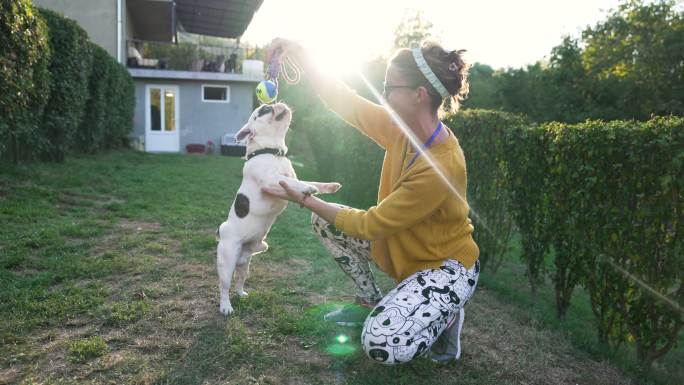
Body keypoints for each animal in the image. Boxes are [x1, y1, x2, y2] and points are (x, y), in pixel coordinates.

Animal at [216, 103, 340, 316]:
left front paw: (328, 186)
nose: (271, 104)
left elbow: (307, 181)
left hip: (246, 263)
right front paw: (307, 188)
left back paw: (241, 294)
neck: (271, 152)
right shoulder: (271, 181)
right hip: (227, 260)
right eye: (263, 111)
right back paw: (226, 306)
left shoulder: (289, 175)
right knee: (224, 286)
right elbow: (293, 182)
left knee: (240, 279)